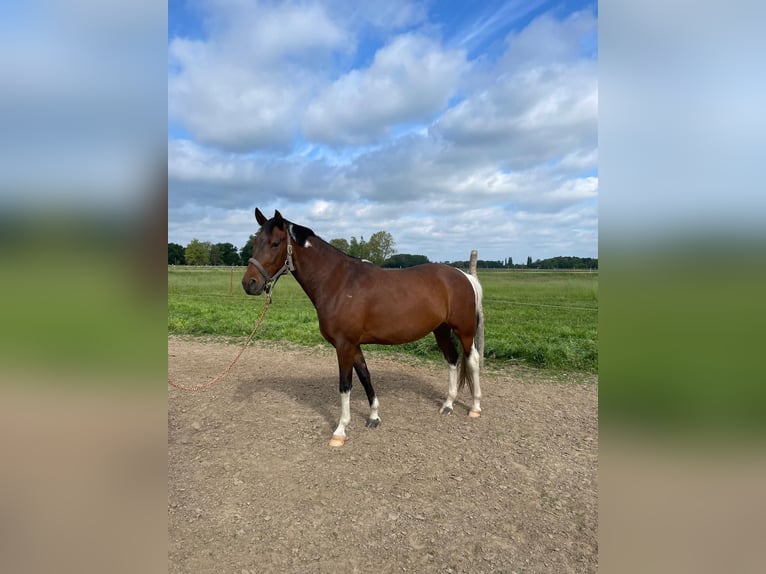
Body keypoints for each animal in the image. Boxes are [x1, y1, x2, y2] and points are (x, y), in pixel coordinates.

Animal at [242, 209, 486, 448]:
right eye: (255, 243)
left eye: (275, 243)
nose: (249, 283)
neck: (338, 283)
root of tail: (463, 276)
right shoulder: (354, 345)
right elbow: (365, 376)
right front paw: (374, 417)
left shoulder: (344, 345)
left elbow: (345, 385)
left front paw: (340, 431)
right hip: (441, 330)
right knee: (452, 359)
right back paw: (448, 404)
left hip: (464, 331)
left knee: (471, 360)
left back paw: (475, 407)